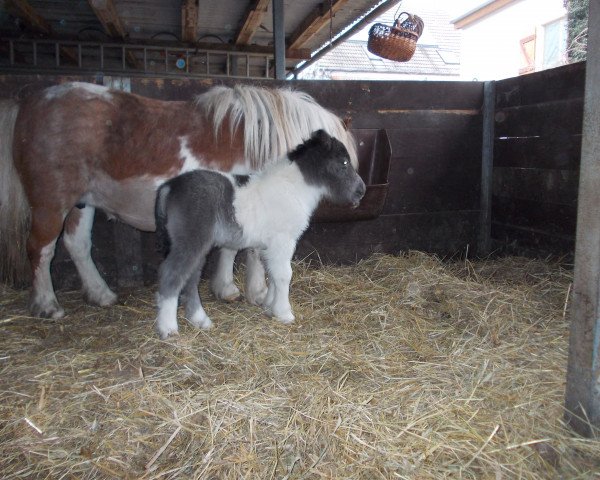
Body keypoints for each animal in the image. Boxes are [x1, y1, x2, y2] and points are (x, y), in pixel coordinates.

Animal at [0, 81, 356, 318]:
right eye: (344, 162)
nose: (358, 194)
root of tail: (30, 102)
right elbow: (248, 251)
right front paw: (254, 292)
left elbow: (233, 248)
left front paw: (230, 289)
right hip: (52, 203)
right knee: (41, 249)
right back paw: (47, 305)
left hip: (82, 203)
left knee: (77, 245)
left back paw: (101, 294)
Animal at [154, 129, 366, 340]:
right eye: (344, 163)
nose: (361, 191)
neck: (293, 189)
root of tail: (170, 186)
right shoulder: (283, 242)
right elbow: (284, 275)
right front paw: (284, 313)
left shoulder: (268, 247)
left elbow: (271, 274)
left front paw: (269, 307)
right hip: (190, 242)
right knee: (172, 275)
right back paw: (168, 328)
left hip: (199, 246)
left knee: (190, 278)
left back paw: (200, 320)